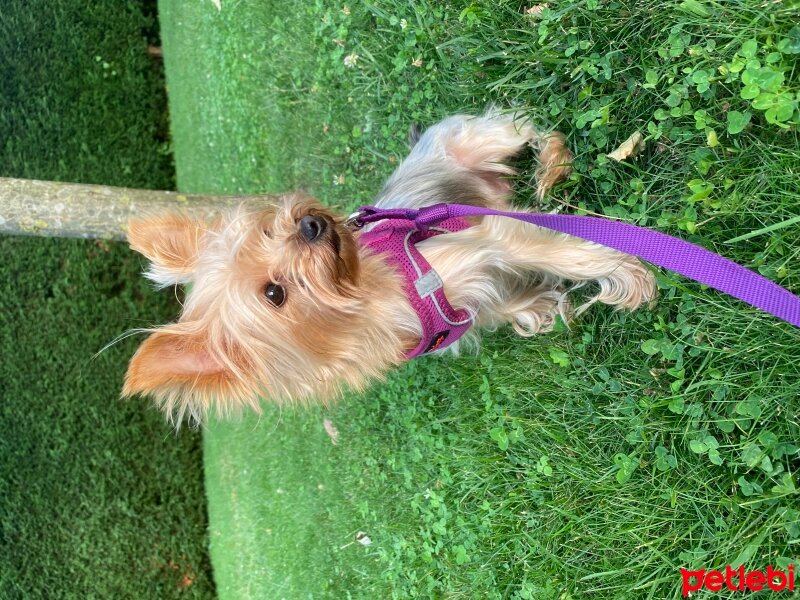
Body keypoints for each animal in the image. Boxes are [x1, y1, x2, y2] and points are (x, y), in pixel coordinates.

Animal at [122, 110, 652, 420]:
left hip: (478, 138)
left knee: (525, 127)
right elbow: (505, 304)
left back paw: (552, 164)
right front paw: (537, 308)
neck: (371, 297)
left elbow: (567, 251)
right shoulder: (475, 293)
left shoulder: (487, 242)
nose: (309, 224)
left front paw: (626, 271)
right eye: (274, 294)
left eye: (266, 230)